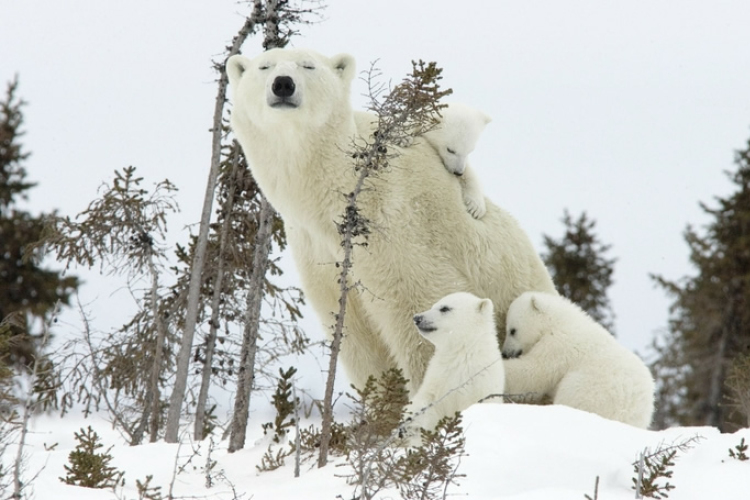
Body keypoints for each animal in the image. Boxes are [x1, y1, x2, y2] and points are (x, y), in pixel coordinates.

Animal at [226, 47, 556, 390]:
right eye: (265, 66)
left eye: (308, 65)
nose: (283, 84)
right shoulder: (317, 252)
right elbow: (357, 339)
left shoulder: (397, 228)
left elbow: (422, 313)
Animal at [406, 292, 506, 442]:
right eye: (433, 305)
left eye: (444, 308)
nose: (417, 318)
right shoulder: (439, 376)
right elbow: (428, 400)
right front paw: (410, 422)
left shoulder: (482, 383)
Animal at [502, 292, 656, 428]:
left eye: (512, 330)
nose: (505, 353)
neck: (560, 321)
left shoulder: (559, 345)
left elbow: (534, 372)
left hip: (590, 390)